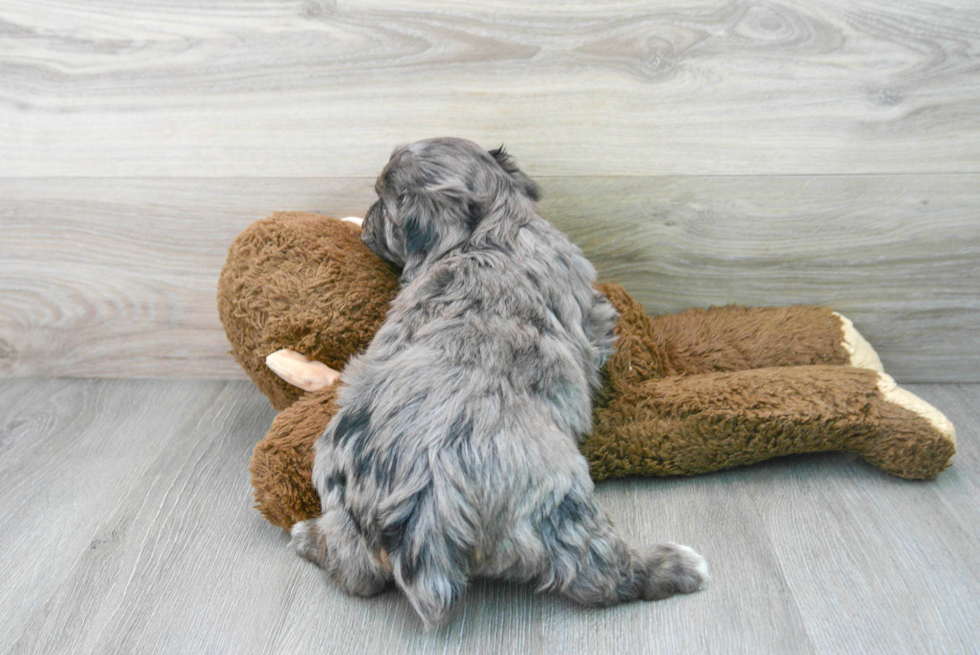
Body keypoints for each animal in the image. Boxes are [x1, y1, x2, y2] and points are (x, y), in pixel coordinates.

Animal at [288, 137, 708, 624]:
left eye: (385, 205)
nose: (366, 224)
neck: (489, 228)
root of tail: (423, 510)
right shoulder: (592, 312)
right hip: (558, 501)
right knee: (597, 575)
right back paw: (674, 566)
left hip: (335, 486)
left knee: (356, 572)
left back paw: (307, 536)